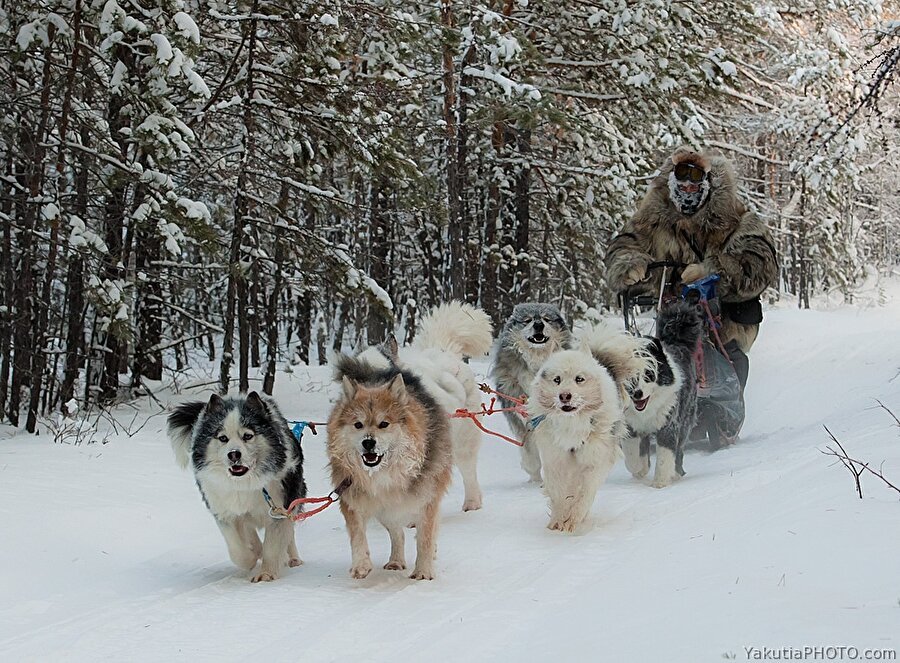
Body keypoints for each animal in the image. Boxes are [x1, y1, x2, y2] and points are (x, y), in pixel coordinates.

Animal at [168, 392, 306, 584]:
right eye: (223, 438)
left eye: (247, 436)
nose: (234, 454)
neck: (243, 483)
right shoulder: (224, 510)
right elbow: (237, 549)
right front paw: (251, 558)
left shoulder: (278, 507)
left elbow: (273, 544)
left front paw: (266, 573)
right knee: (249, 530)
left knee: (289, 533)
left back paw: (293, 558)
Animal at [492, 302, 568, 482]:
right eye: (527, 320)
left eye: (546, 319)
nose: (538, 325)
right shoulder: (520, 417)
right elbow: (530, 456)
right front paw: (535, 480)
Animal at [532, 350, 624, 532]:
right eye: (557, 379)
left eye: (579, 379)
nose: (564, 396)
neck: (573, 422)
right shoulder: (556, 460)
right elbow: (559, 494)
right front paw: (558, 520)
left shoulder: (595, 460)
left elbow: (585, 493)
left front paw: (573, 519)